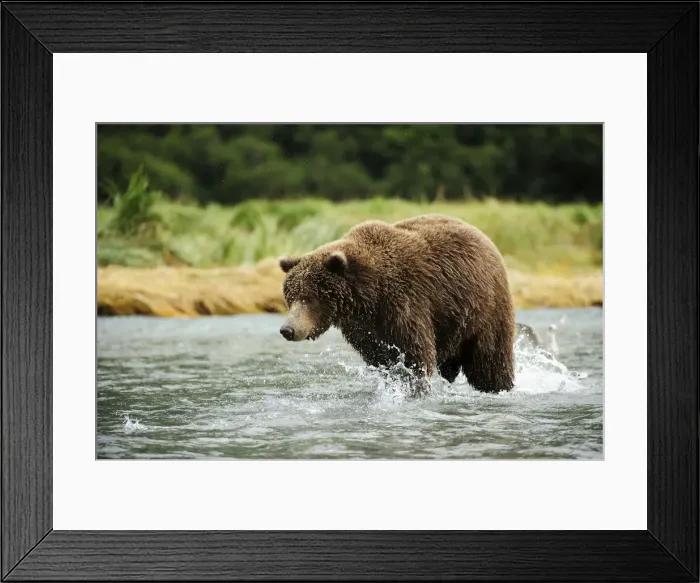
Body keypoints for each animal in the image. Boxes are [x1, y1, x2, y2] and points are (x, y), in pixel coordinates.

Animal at [278, 214, 516, 395]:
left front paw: (413, 387)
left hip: (484, 307)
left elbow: (415, 354)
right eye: (290, 297)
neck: (368, 296)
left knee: (490, 360)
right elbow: (381, 358)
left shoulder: (405, 303)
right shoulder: (363, 328)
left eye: (309, 298)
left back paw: (498, 387)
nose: (287, 330)